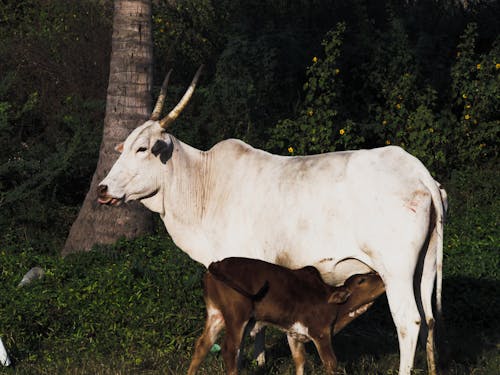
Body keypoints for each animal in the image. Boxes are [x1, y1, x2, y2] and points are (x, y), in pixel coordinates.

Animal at [188, 258, 386, 375]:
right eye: (362, 280)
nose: (382, 277)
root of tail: (217, 264)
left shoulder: (293, 333)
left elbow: (299, 360)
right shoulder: (320, 332)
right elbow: (331, 363)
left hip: (216, 314)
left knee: (202, 345)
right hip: (236, 314)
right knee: (229, 349)